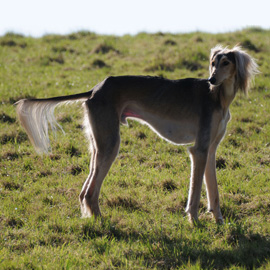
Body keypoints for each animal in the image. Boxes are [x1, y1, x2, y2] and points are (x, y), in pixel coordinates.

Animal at [16, 45, 258, 224]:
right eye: (213, 63)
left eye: (226, 63)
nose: (211, 80)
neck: (218, 97)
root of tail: (95, 89)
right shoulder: (198, 150)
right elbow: (196, 190)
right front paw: (194, 222)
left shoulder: (210, 149)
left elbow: (213, 189)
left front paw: (219, 221)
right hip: (110, 143)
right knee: (91, 192)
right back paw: (102, 222)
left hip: (99, 143)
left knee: (85, 190)